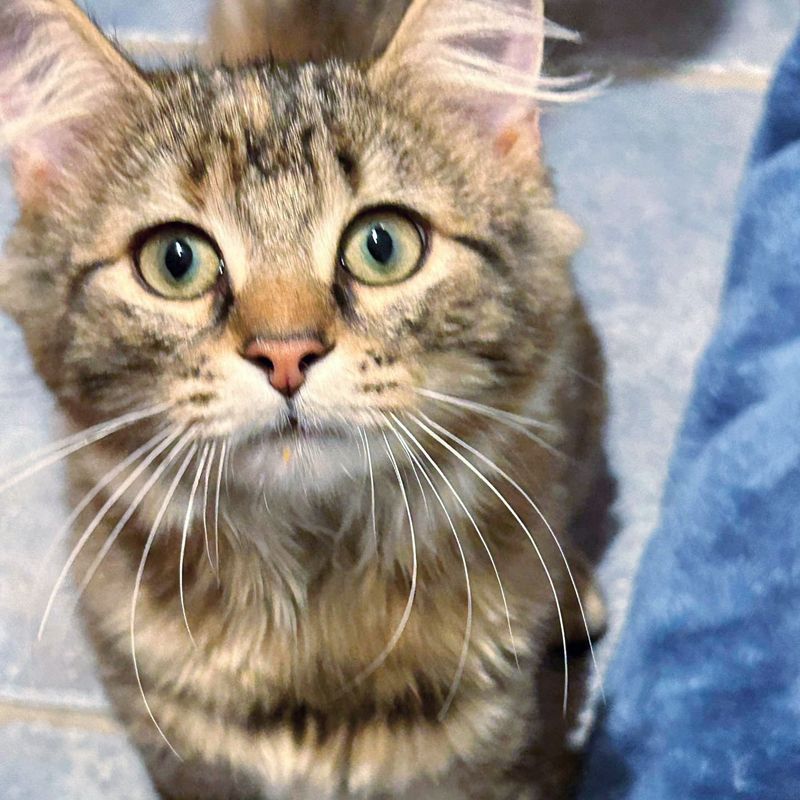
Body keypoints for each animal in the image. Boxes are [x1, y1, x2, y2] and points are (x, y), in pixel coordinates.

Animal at [0, 1, 608, 800]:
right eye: (175, 261)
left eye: (383, 246)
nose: (285, 355)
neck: (316, 602)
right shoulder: (176, 749)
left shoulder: (508, 757)